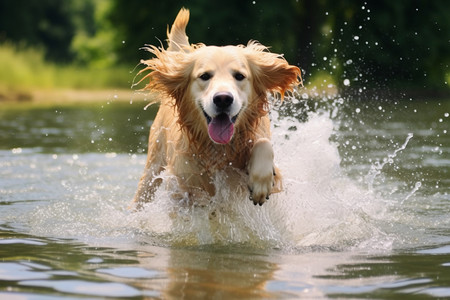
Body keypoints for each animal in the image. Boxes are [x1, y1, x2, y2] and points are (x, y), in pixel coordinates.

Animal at [134, 8, 302, 207]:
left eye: (239, 76)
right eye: (205, 76)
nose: (223, 99)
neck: (219, 150)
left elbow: (264, 143)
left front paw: (260, 183)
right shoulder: (180, 185)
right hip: (153, 164)